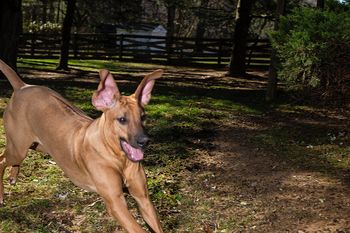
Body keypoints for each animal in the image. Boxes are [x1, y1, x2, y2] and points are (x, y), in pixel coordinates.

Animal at [0, 60, 164, 233]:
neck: (118, 158)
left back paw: (13, 175)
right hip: (19, 148)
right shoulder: (116, 202)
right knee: (2, 159)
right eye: (122, 119)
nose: (145, 141)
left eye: (143, 117)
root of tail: (22, 86)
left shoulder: (143, 199)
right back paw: (2, 194)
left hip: (37, 145)